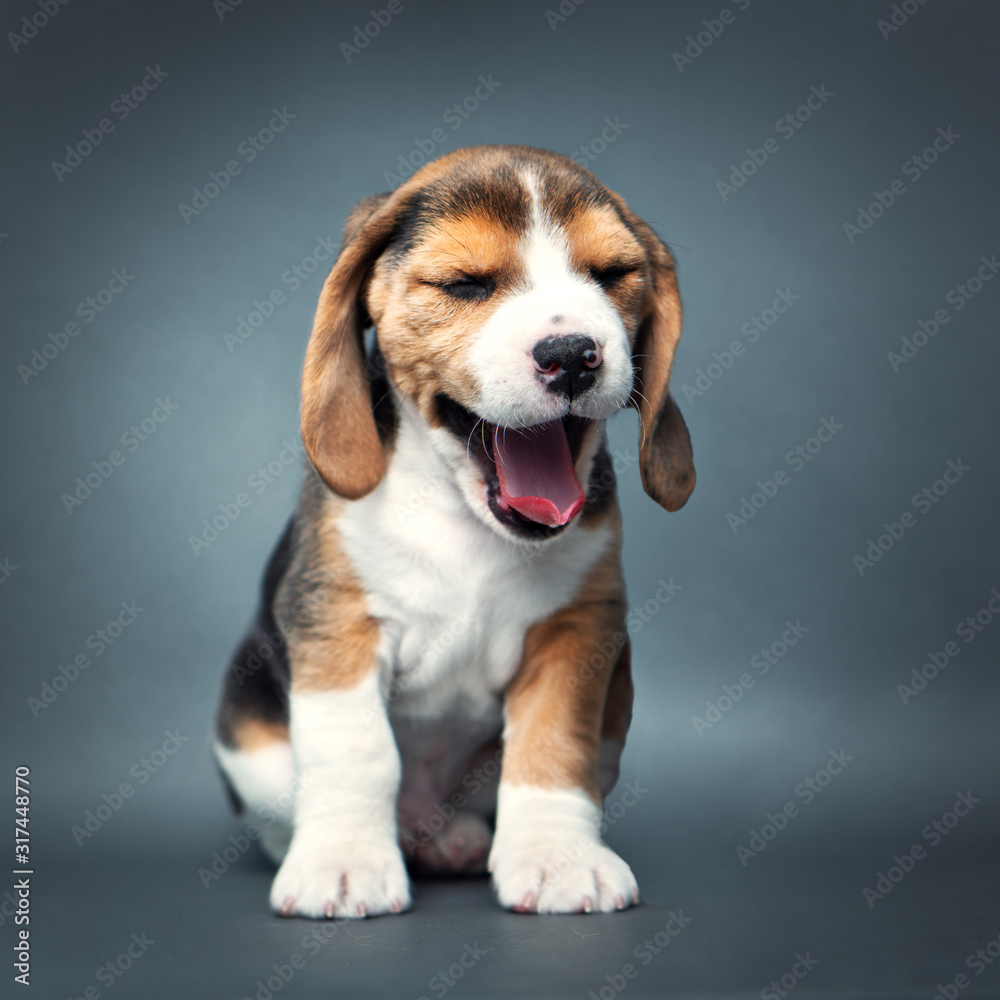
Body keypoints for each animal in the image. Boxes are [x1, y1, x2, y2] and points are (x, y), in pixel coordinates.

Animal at [211, 145, 696, 916]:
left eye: (611, 275)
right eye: (465, 285)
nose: (572, 353)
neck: (464, 516)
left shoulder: (577, 631)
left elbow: (552, 745)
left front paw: (557, 858)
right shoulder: (337, 623)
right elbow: (356, 752)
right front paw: (343, 863)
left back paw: (457, 840)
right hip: (251, 742)